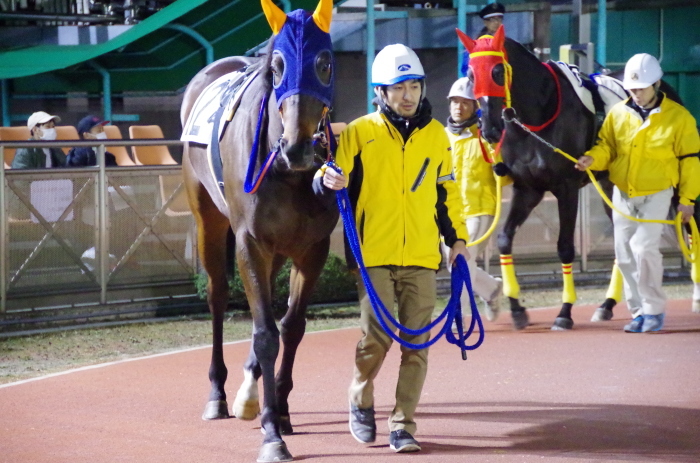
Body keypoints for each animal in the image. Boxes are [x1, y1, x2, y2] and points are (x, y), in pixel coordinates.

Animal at [180, 1, 340, 462]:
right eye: (279, 66)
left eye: (325, 62)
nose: (299, 147)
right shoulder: (250, 242)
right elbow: (266, 333)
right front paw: (271, 433)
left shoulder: (312, 247)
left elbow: (291, 326)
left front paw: (280, 410)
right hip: (208, 218)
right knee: (217, 295)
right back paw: (218, 394)